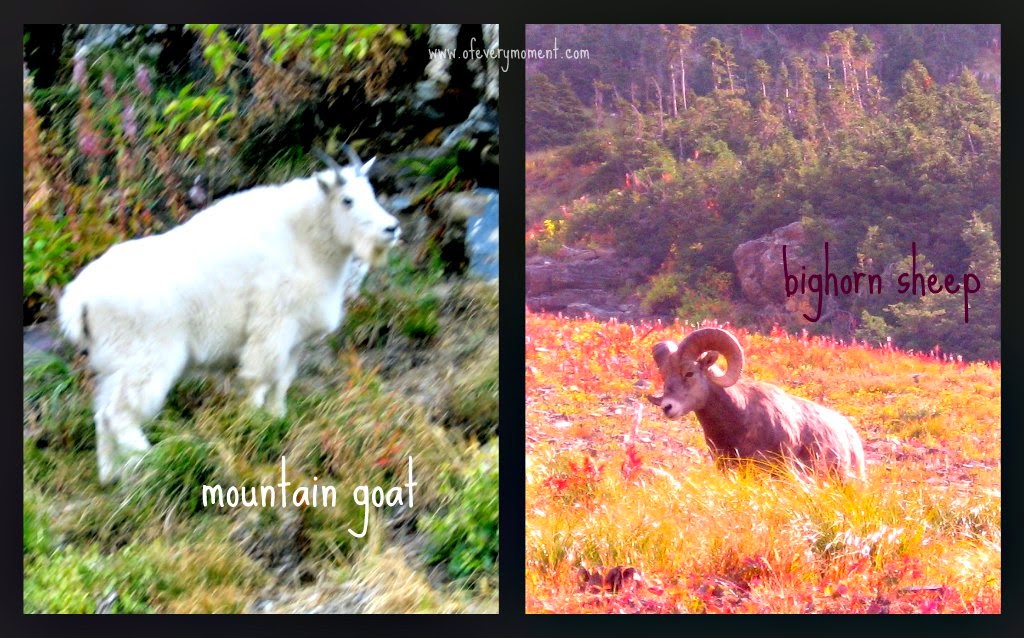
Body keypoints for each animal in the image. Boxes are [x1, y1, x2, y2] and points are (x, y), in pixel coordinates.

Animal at [57, 146, 401, 484]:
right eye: (347, 200)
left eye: (371, 192)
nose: (391, 228)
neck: (305, 240)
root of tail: (79, 299)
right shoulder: (271, 328)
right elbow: (259, 381)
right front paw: (255, 424)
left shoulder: (293, 340)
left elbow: (282, 383)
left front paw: (278, 420)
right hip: (145, 361)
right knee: (119, 416)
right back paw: (153, 459)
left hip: (114, 367)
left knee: (103, 414)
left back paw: (111, 475)